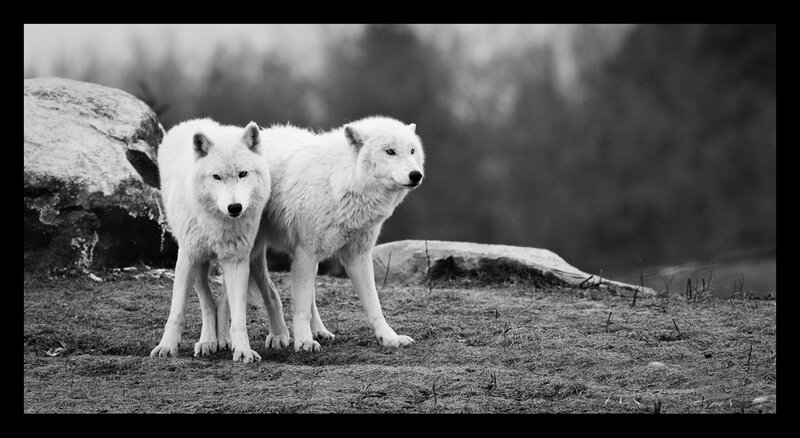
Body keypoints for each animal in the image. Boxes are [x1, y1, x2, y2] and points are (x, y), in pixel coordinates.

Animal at [149, 118, 285, 363]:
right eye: (216, 177)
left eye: (243, 174)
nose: (235, 207)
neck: (218, 223)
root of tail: (195, 122)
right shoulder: (188, 258)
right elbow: (177, 311)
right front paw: (166, 347)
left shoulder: (237, 261)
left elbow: (239, 316)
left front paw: (243, 350)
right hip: (199, 263)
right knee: (208, 303)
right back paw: (208, 341)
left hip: (251, 258)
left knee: (261, 294)